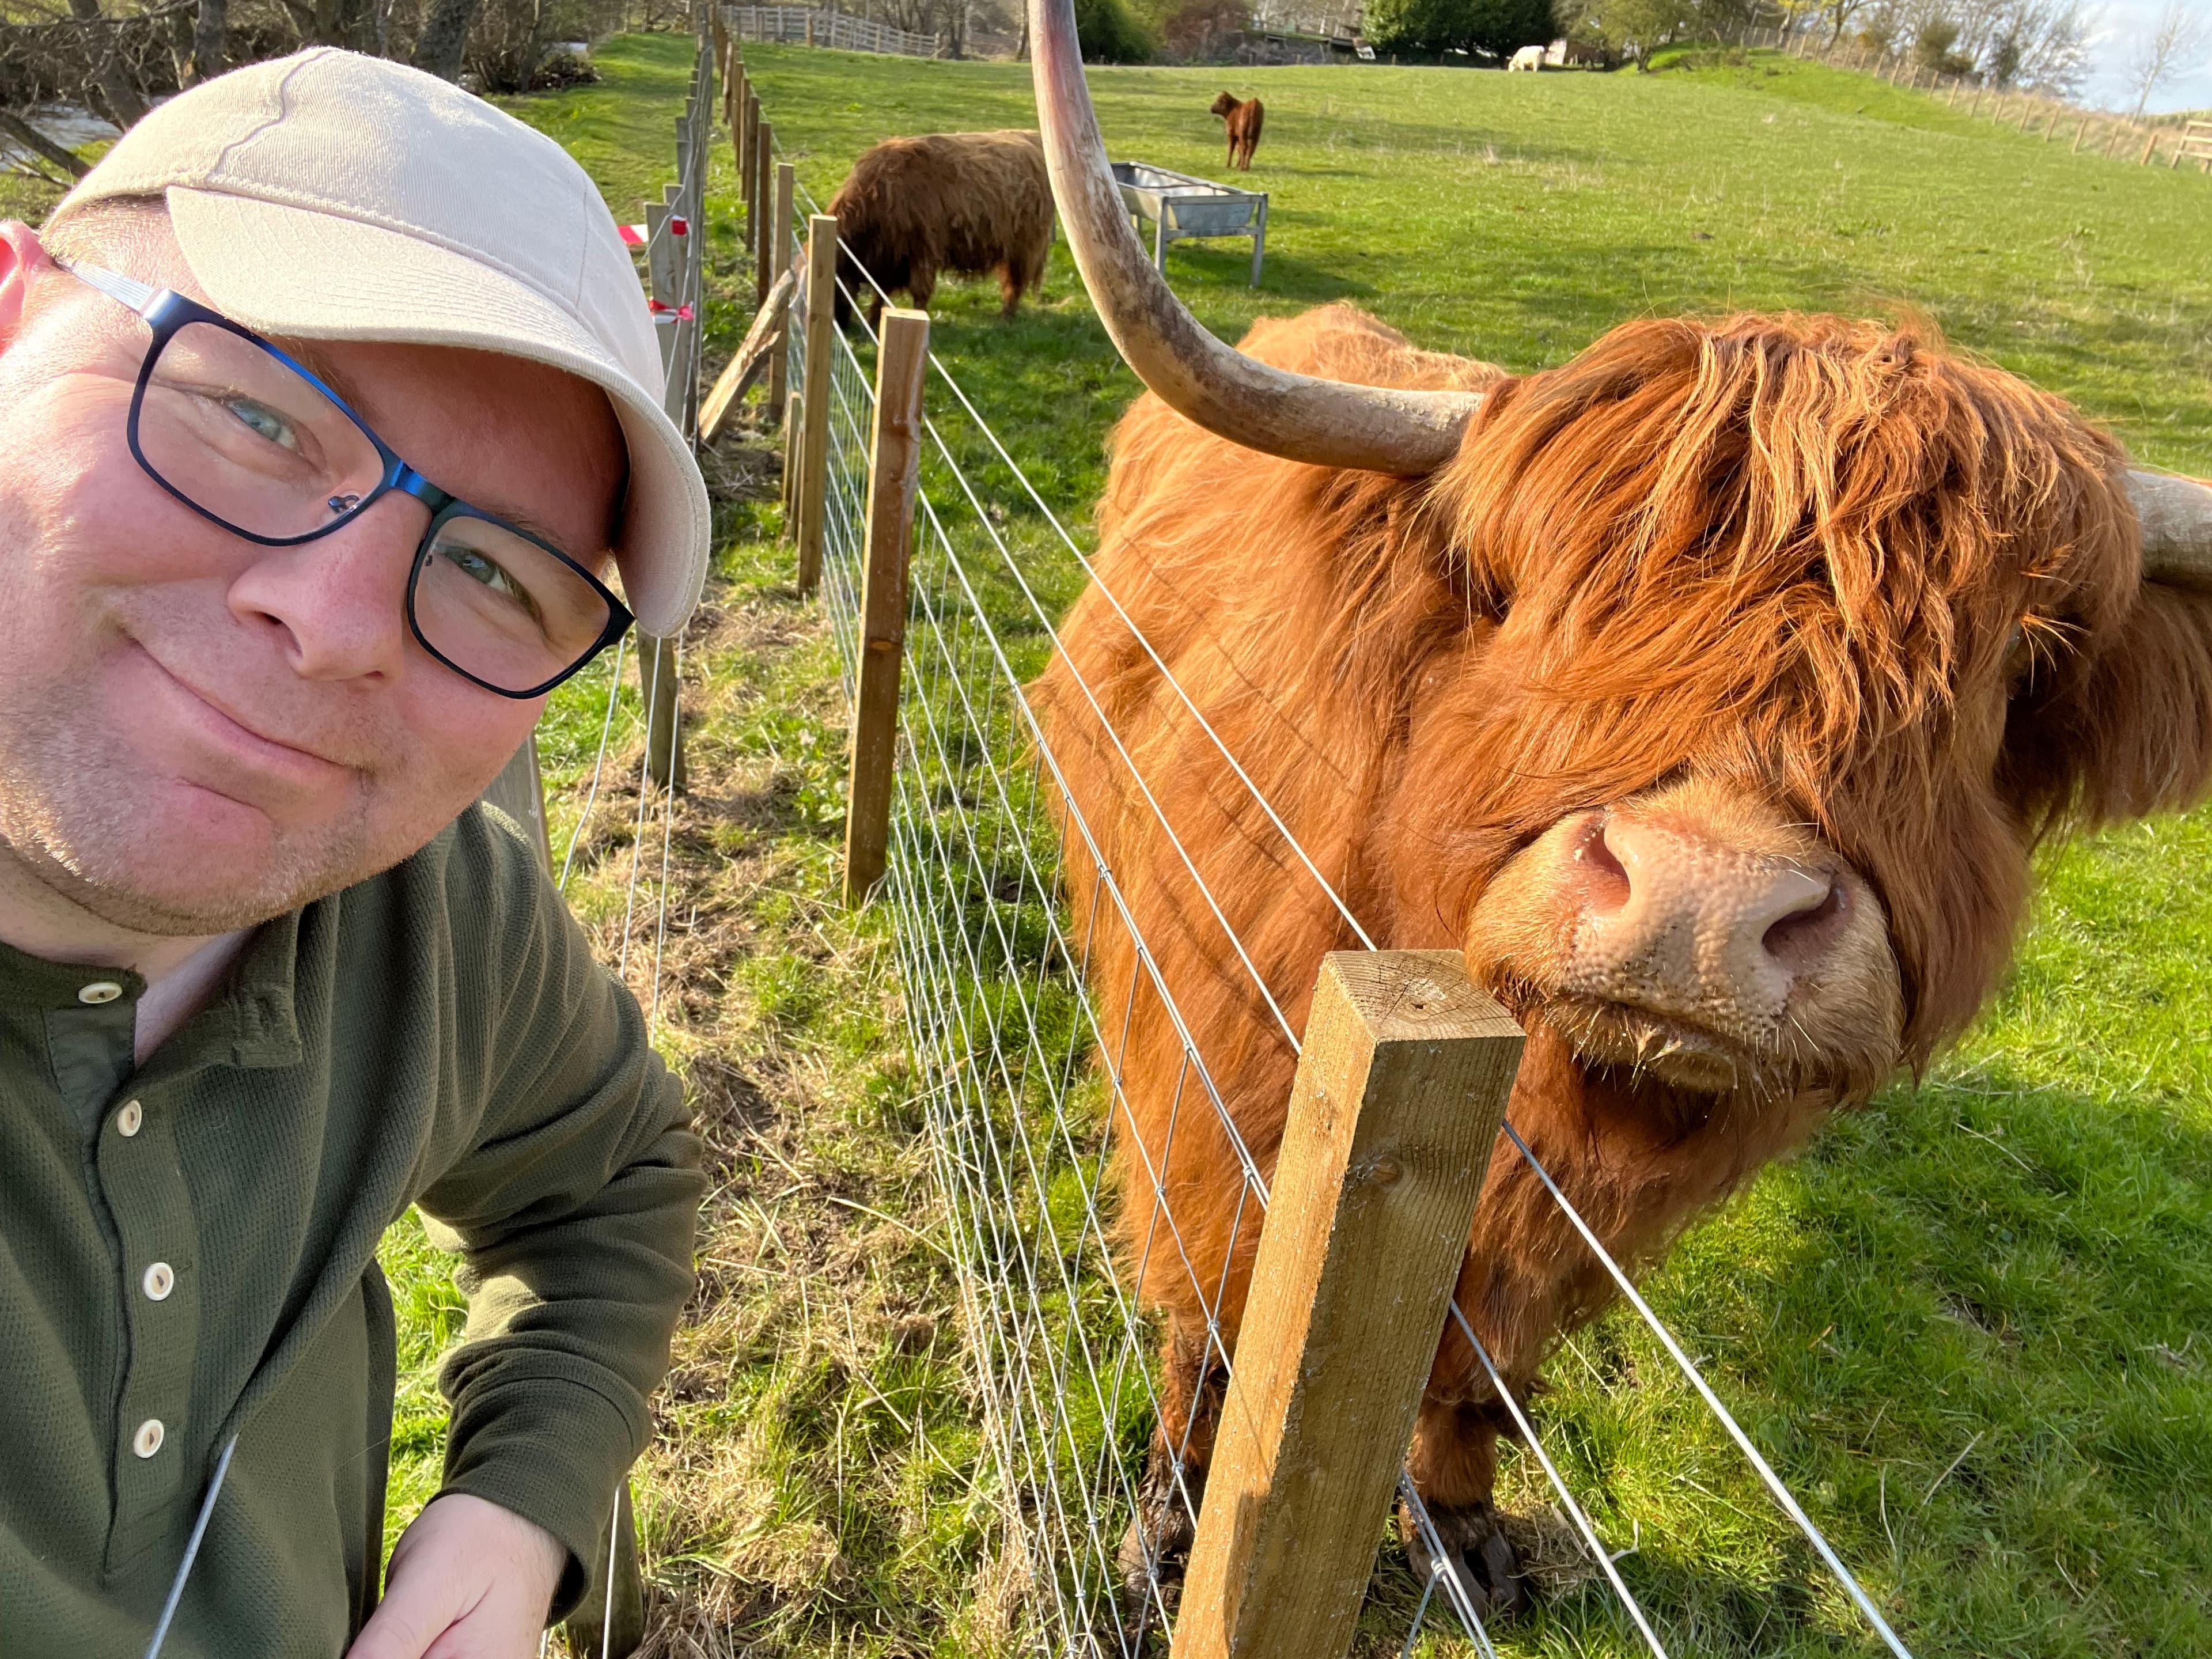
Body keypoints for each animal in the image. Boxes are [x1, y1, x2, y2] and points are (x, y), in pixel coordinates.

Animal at [826, 129, 1053, 329]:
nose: (842, 328)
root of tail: (1032, 136)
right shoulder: (892, 256)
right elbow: (881, 292)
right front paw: (873, 321)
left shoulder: (921, 250)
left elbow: (919, 291)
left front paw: (917, 316)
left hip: (1023, 248)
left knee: (1015, 283)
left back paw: (1006, 317)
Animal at [1209, 91, 1264, 171]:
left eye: (1219, 101)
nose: (1211, 108)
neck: (1232, 109)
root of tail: (1254, 102)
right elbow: (1238, 149)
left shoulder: (1231, 135)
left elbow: (1231, 149)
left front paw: (1228, 165)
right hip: (1256, 135)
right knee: (1251, 148)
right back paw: (1246, 167)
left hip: (1243, 134)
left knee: (1245, 147)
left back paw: (1242, 168)